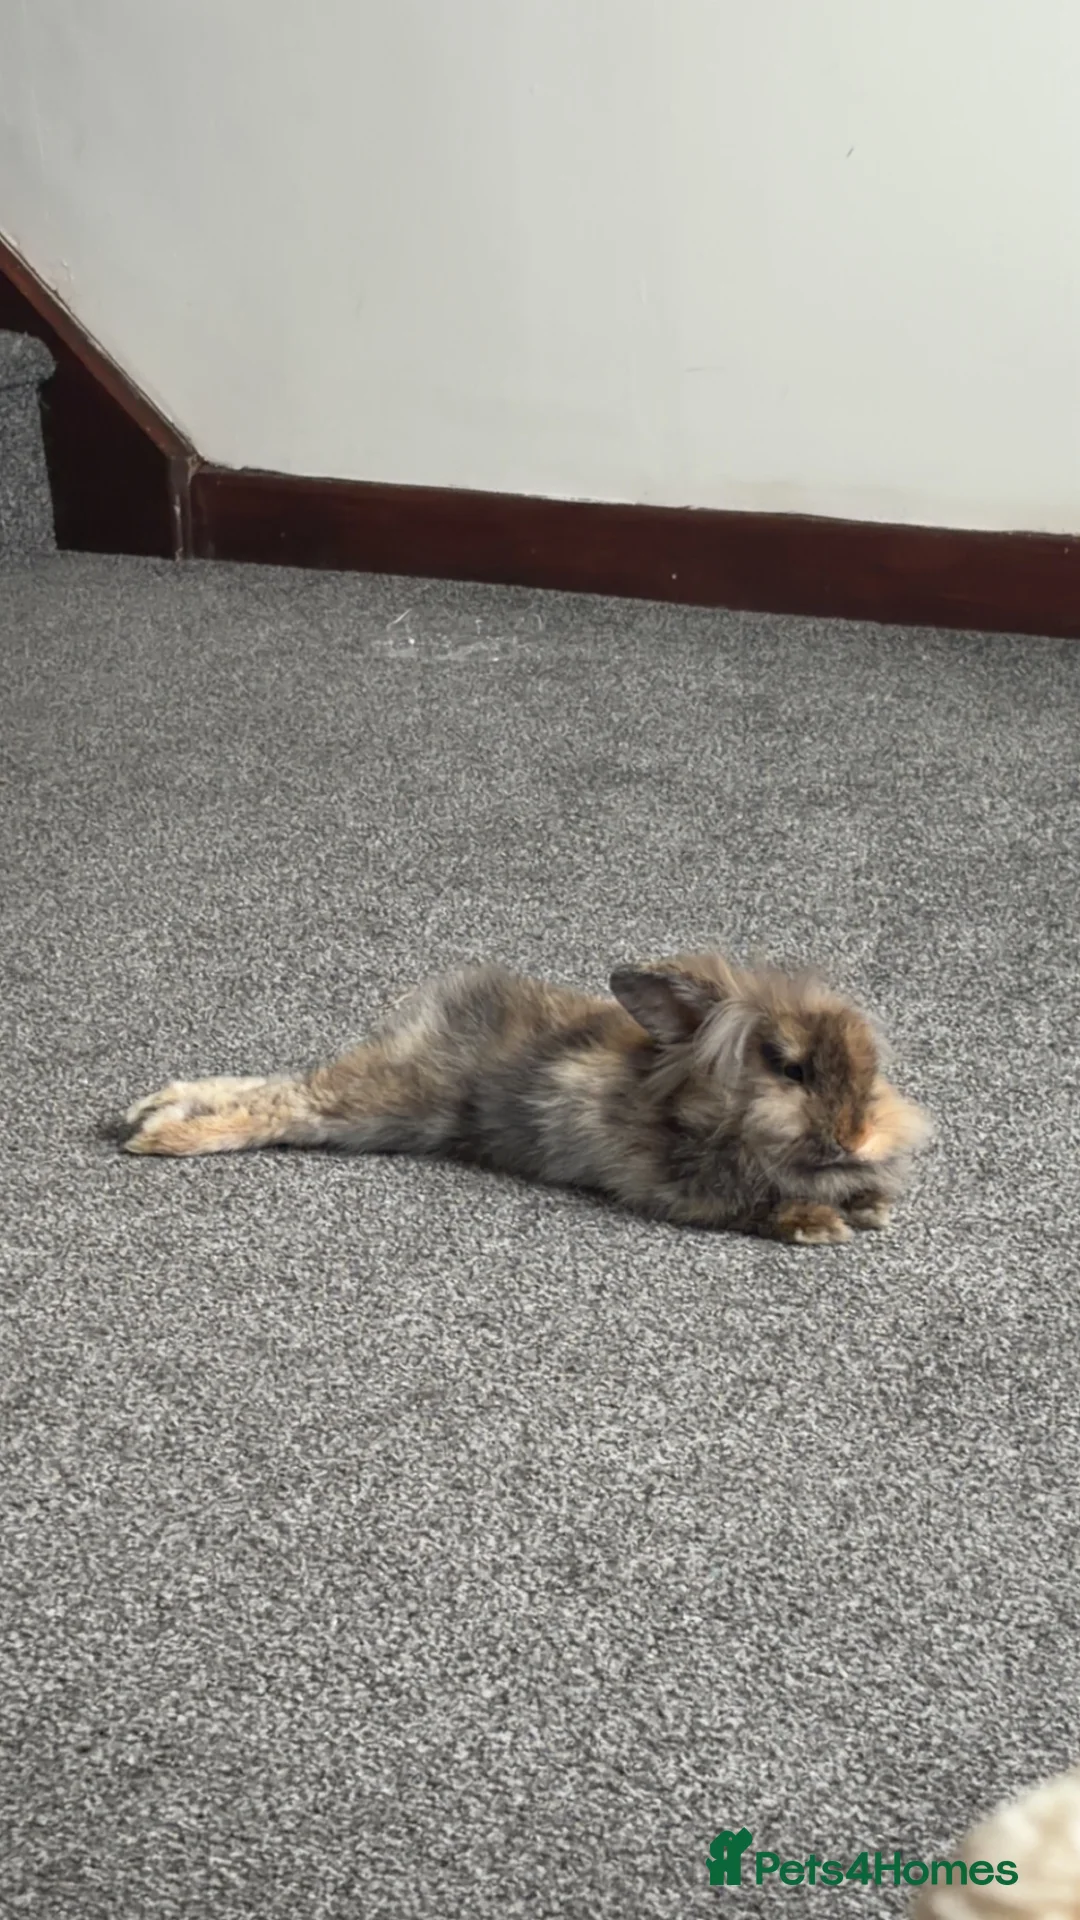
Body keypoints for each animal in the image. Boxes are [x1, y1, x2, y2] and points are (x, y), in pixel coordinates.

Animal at [119, 951, 930, 1244]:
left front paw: (872, 1208)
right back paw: (160, 1136)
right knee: (282, 1104)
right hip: (379, 1102)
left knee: (276, 1085)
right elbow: (758, 1206)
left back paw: (150, 1109)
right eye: (789, 1069)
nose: (858, 1136)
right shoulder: (689, 1189)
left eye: (873, 1070)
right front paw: (820, 1226)